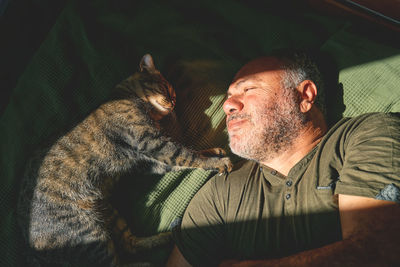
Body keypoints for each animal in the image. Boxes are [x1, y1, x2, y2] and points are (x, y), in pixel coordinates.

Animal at [17, 53, 233, 266]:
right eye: (165, 88)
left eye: (175, 95)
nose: (173, 102)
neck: (128, 96)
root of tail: (31, 252)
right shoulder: (151, 142)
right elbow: (185, 155)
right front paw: (217, 162)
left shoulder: (146, 160)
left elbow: (186, 156)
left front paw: (213, 151)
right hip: (89, 233)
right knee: (116, 262)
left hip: (107, 213)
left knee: (130, 245)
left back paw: (168, 237)